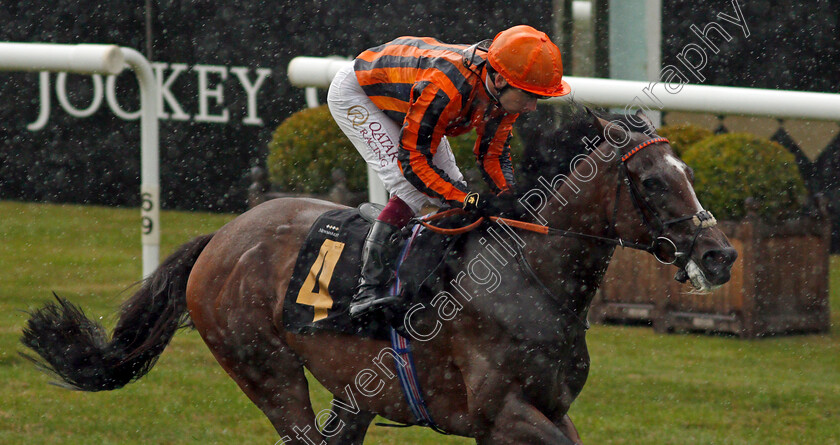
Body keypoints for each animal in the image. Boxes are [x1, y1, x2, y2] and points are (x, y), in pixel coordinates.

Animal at [21, 106, 736, 442]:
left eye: (688, 173)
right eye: (651, 181)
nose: (720, 254)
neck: (528, 278)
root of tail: (222, 237)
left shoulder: (544, 411)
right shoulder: (503, 414)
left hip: (354, 388)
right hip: (266, 369)